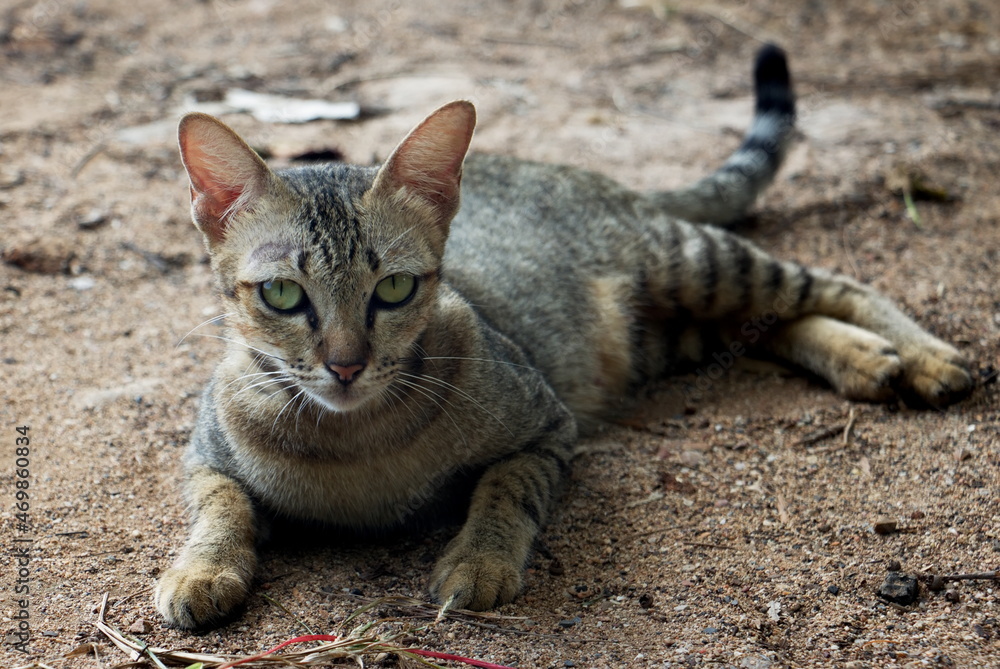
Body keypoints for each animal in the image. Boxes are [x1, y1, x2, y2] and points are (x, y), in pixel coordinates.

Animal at [154, 45, 968, 628]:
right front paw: (199, 570)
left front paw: (479, 561)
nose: (347, 365)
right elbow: (220, 507)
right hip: (673, 330)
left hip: (695, 264)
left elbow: (505, 489)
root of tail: (584, 173)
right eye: (283, 294)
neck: (353, 449)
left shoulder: (549, 425)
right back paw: (864, 359)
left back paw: (925, 357)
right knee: (769, 325)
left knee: (834, 283)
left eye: (395, 290)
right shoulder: (203, 453)